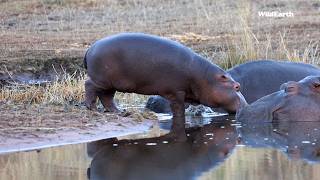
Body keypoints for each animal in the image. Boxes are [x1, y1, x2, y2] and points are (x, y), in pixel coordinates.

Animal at [84, 32, 246, 141]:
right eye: (237, 87)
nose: (246, 105)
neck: (206, 79)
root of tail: (90, 48)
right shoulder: (177, 91)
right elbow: (178, 108)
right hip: (101, 80)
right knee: (89, 86)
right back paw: (92, 108)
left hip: (111, 84)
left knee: (107, 97)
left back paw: (119, 111)